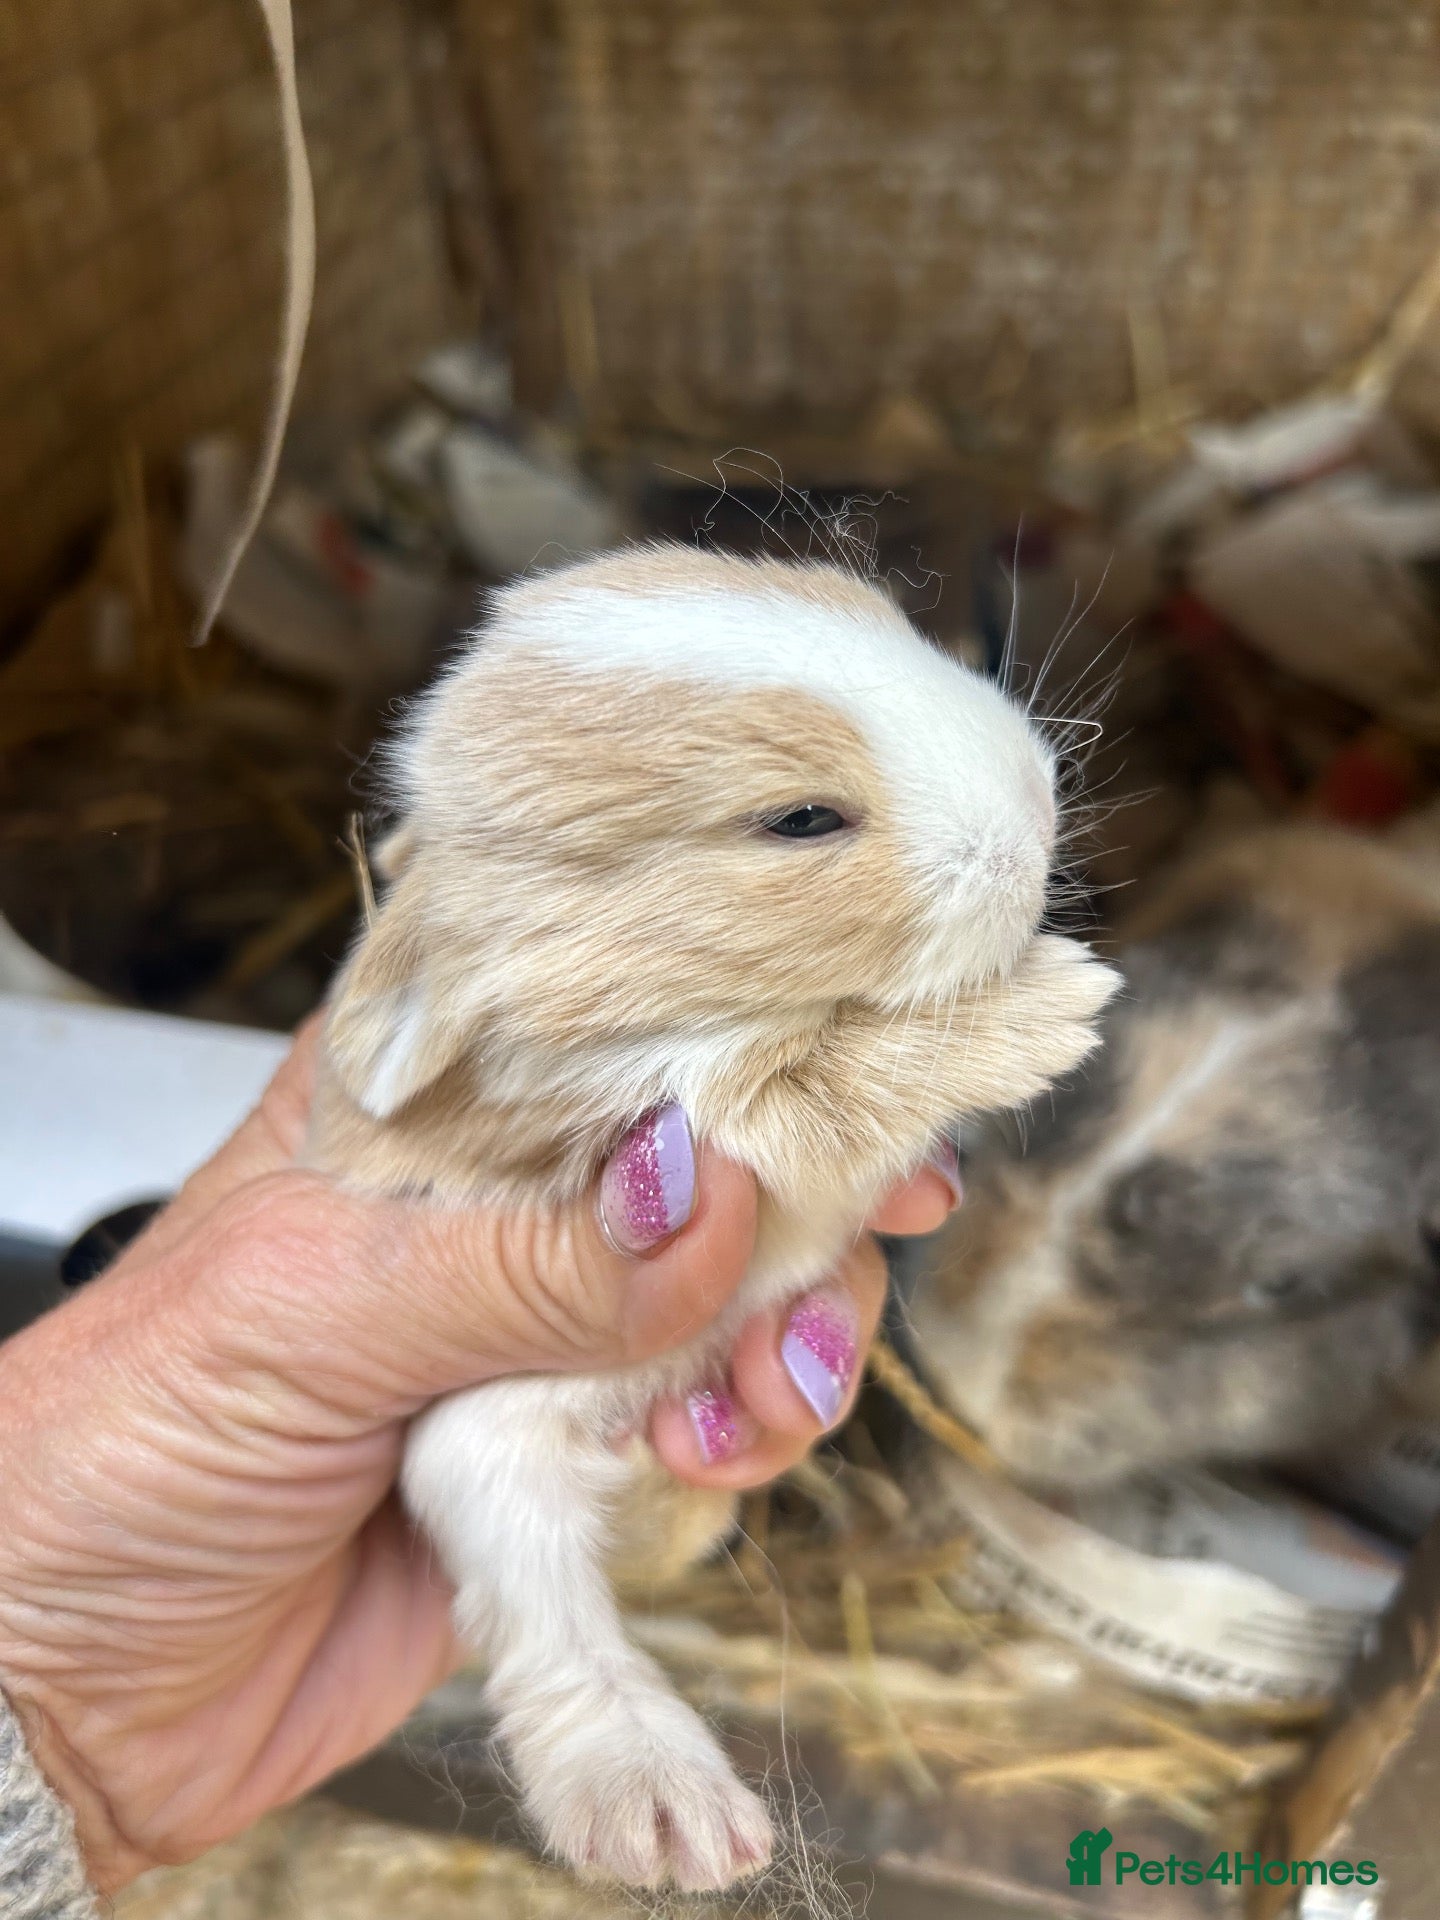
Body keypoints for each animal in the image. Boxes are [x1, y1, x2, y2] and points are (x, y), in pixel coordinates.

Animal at [304, 543, 1117, 1890]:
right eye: (799, 820)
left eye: (877, 612)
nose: (1037, 805)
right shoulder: (706, 1116)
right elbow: (838, 1077)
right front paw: (1060, 1006)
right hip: (481, 1458)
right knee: (551, 1627)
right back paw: (666, 1812)